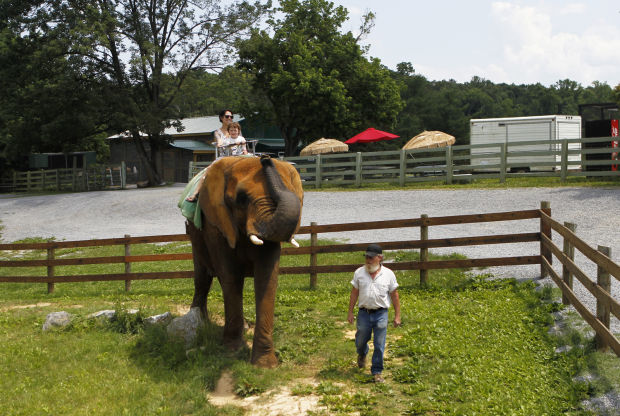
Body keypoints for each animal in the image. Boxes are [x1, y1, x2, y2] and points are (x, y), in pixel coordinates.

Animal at [185, 154, 304, 366]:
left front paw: (264, 364)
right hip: (195, 233)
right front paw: (232, 349)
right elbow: (230, 276)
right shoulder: (216, 224)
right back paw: (200, 321)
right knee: (202, 277)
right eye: (241, 198)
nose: (265, 158)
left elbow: (267, 279)